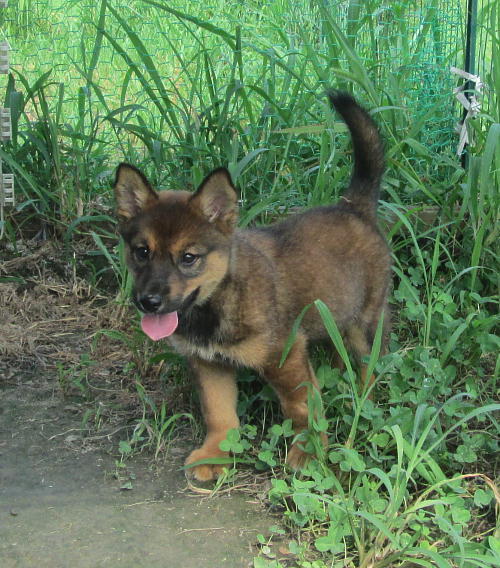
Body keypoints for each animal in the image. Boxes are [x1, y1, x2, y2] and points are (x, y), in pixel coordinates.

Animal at [114, 91, 391, 481]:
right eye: (141, 252)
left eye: (188, 258)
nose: (148, 302)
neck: (219, 301)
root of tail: (353, 206)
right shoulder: (208, 364)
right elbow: (219, 413)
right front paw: (216, 455)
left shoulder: (285, 357)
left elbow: (302, 409)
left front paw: (309, 453)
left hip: (365, 322)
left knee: (370, 364)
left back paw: (362, 401)